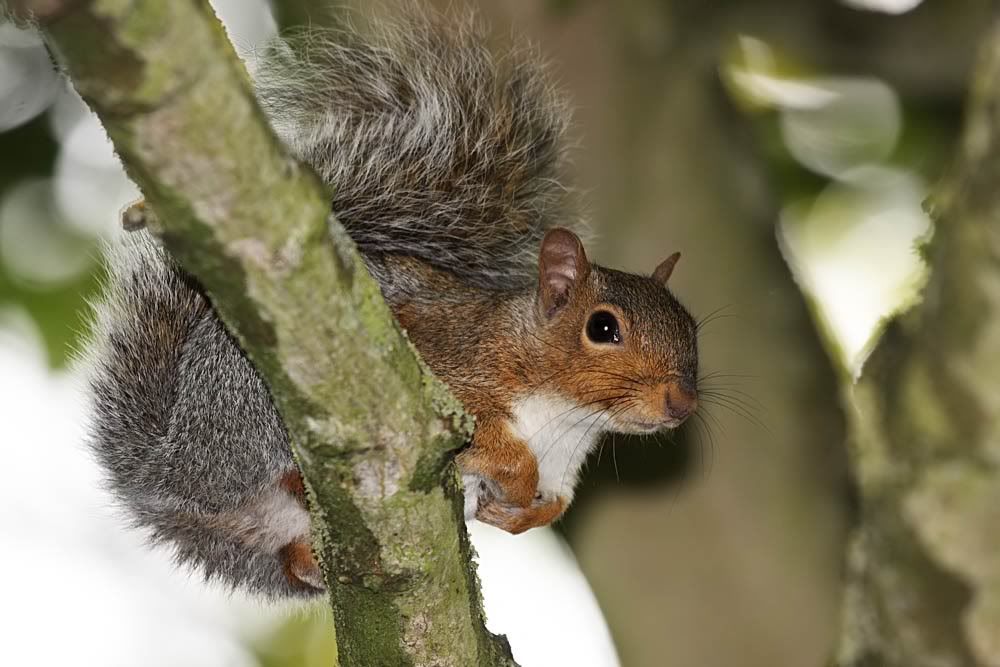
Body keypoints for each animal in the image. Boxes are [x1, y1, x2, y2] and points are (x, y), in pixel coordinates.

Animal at [84, 11, 700, 599]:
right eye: (603, 328)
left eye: (694, 329)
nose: (682, 402)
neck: (565, 417)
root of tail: (168, 474)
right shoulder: (454, 367)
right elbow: (491, 434)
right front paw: (515, 476)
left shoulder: (563, 468)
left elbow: (554, 504)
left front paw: (519, 511)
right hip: (252, 405)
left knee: (295, 561)